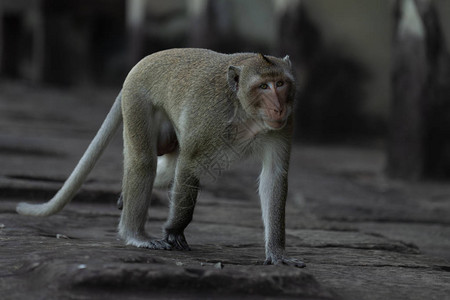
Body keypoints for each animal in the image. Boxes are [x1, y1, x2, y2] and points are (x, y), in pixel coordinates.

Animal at [17, 48, 306, 268]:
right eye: (263, 86)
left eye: (281, 84)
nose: (278, 107)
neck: (245, 113)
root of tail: (145, 60)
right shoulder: (210, 120)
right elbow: (190, 164)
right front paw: (175, 230)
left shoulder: (285, 126)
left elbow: (274, 177)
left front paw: (277, 253)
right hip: (137, 99)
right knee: (144, 162)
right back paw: (135, 235)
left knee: (166, 171)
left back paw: (124, 196)